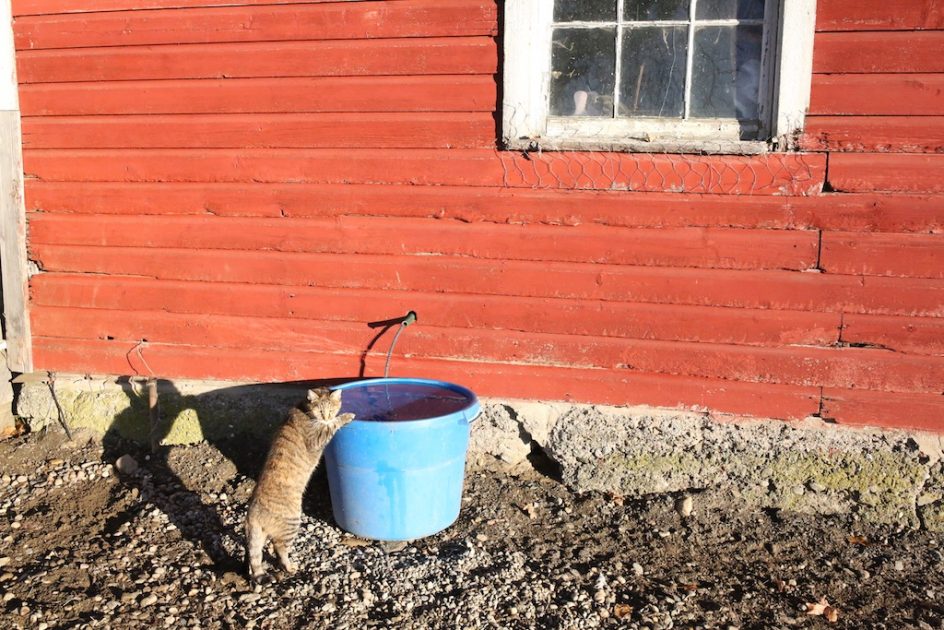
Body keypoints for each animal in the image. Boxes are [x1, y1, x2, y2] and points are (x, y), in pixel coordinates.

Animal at [245, 388, 356, 580]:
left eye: (330, 409)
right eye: (320, 410)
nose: (326, 416)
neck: (303, 408)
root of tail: (253, 514)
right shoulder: (317, 437)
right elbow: (332, 425)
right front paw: (346, 416)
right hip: (292, 522)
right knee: (279, 548)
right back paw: (289, 567)